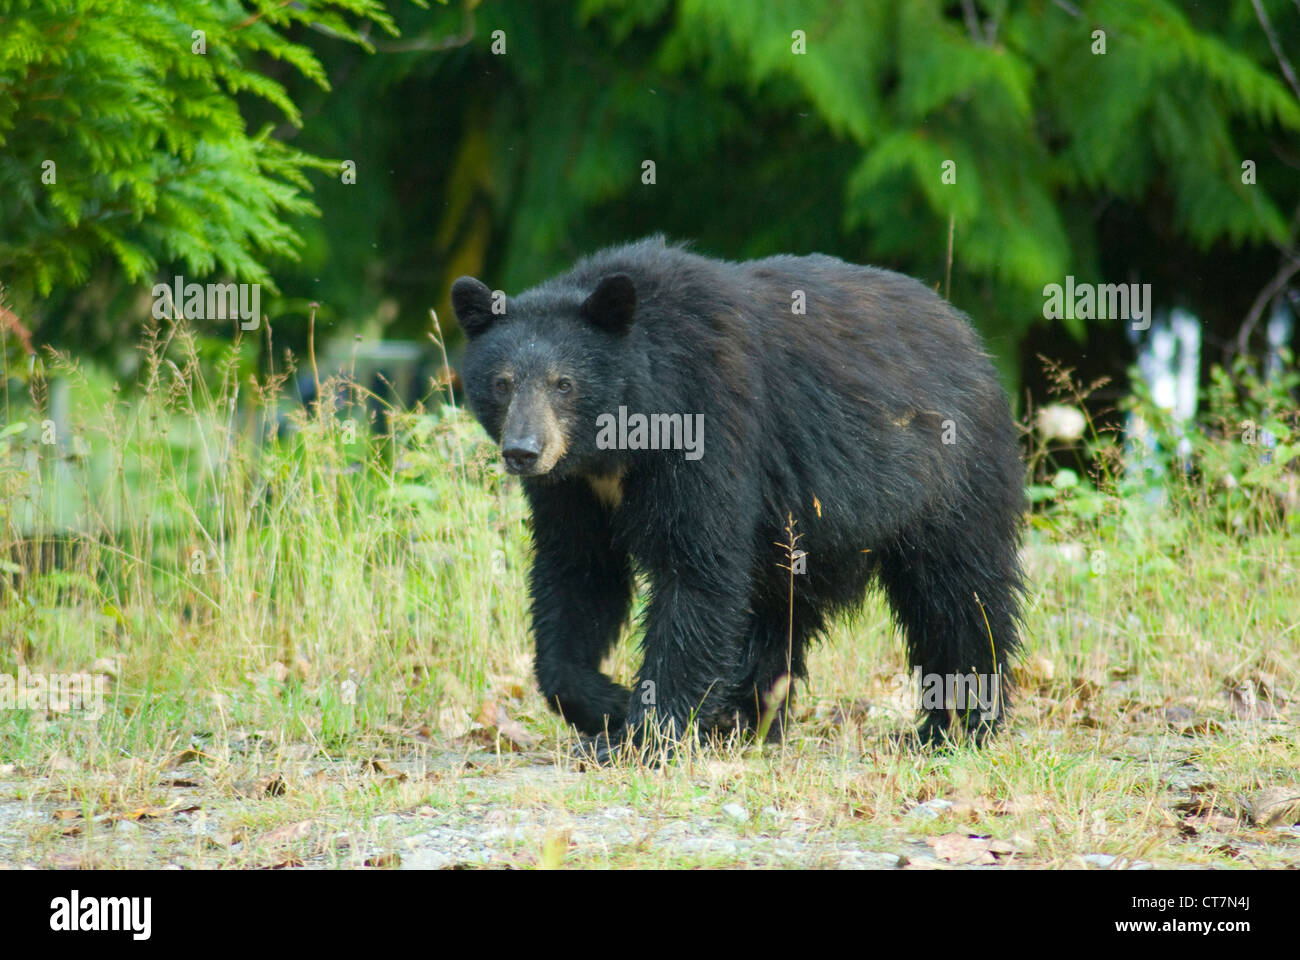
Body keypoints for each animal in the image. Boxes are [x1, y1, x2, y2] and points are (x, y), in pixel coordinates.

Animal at [454, 235, 1024, 759]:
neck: (616, 445)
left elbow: (697, 570)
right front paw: (607, 703)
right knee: (779, 610)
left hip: (948, 479)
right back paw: (746, 718)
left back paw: (956, 727)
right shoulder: (574, 488)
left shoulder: (709, 422)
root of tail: (971, 338)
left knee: (959, 597)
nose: (523, 451)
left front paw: (640, 736)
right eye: (502, 383)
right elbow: (576, 571)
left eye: (564, 384)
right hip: (805, 530)